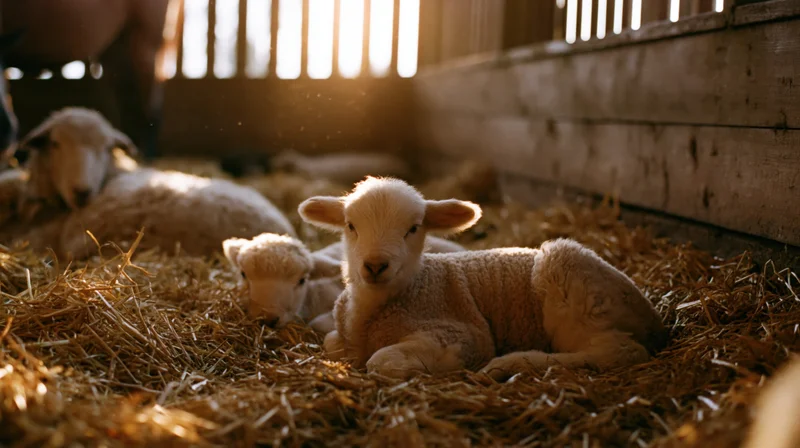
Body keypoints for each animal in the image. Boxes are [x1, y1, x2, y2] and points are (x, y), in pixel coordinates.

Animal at [298, 176, 669, 380]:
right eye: (351, 226)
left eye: (413, 228)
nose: (375, 266)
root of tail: (652, 316)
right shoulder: (343, 335)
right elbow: (332, 342)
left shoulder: (464, 332)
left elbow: (381, 360)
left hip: (573, 283)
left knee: (620, 352)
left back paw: (511, 364)